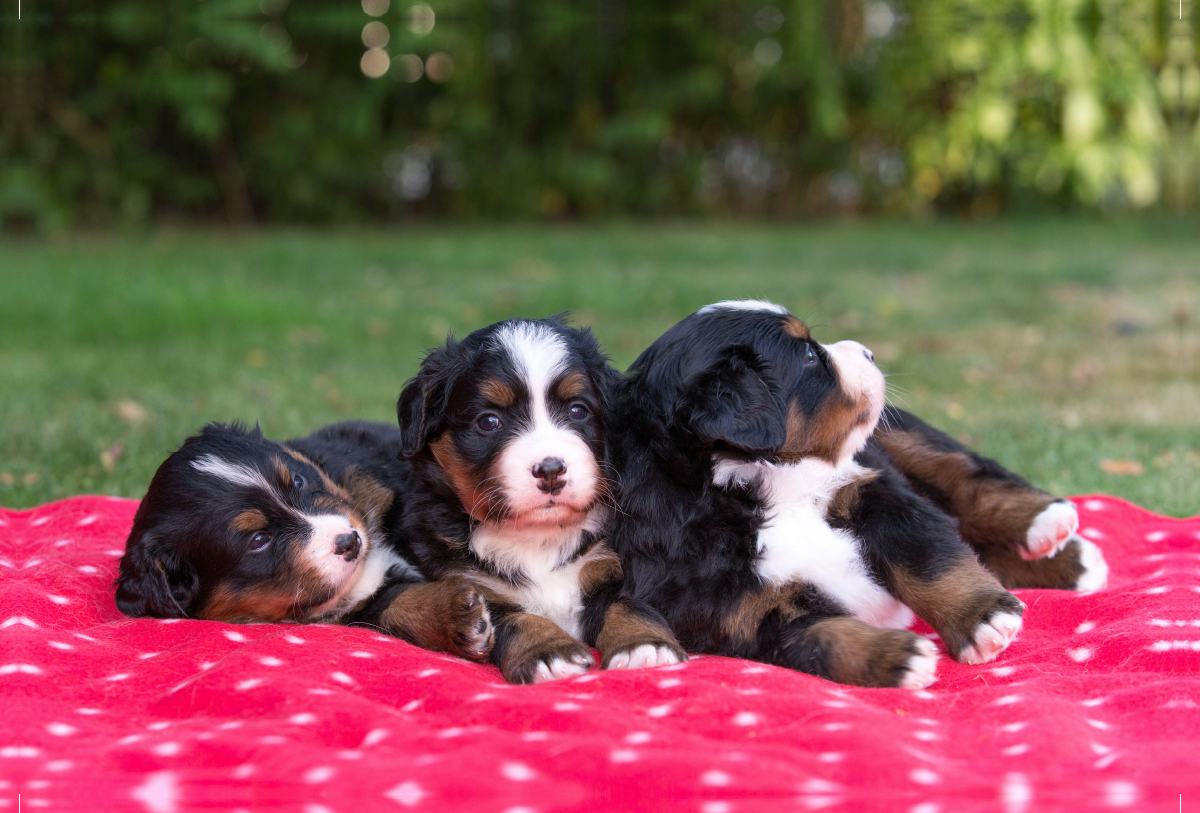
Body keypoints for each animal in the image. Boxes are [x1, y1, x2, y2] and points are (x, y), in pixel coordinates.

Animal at [396, 314, 686, 685]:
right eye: (488, 421)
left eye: (578, 410)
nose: (550, 469)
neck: (538, 537)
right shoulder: (473, 585)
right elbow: (517, 620)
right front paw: (548, 650)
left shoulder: (609, 565)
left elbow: (626, 604)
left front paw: (644, 646)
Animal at [604, 302, 1108, 690]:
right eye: (809, 355)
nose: (869, 351)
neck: (762, 486)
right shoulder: (743, 611)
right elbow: (822, 638)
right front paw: (896, 658)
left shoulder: (873, 491)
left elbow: (929, 561)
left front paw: (983, 619)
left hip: (899, 436)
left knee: (965, 479)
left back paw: (1051, 529)